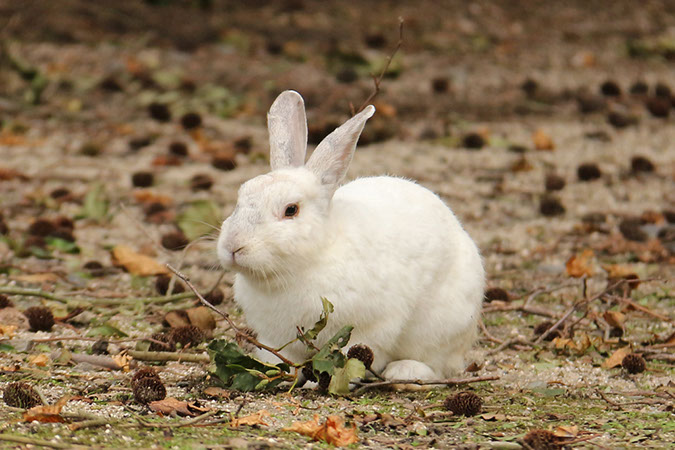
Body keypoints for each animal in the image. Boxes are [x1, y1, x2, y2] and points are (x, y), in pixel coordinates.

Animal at [217, 90, 484, 381]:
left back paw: (404, 371)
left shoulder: (373, 325)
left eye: (291, 210)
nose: (233, 246)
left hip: (440, 329)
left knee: (436, 365)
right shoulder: (275, 337)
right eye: (241, 195)